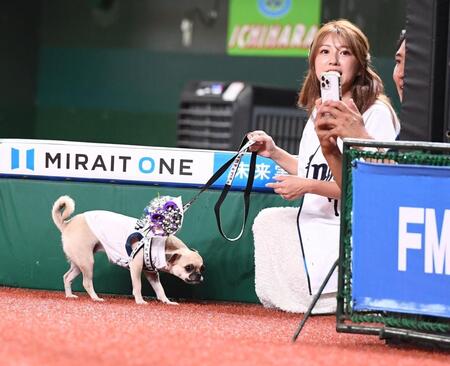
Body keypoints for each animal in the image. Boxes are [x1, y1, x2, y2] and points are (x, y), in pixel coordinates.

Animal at [50, 196, 203, 304]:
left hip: (79, 263)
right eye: (188, 267)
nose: (199, 276)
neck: (162, 244)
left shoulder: (152, 273)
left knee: (67, 277)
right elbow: (137, 286)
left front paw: (166, 301)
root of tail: (67, 224)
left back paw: (69, 295)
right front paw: (140, 301)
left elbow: (160, 289)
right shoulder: (135, 267)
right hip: (87, 262)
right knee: (86, 283)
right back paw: (96, 298)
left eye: (202, 268)